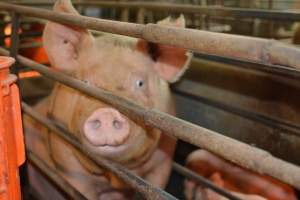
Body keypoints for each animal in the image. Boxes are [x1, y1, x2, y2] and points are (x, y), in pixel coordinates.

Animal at [23, 0, 192, 198]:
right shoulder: (68, 163)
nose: (106, 112)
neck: (115, 178)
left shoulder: (164, 160)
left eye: (140, 83)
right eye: (85, 81)